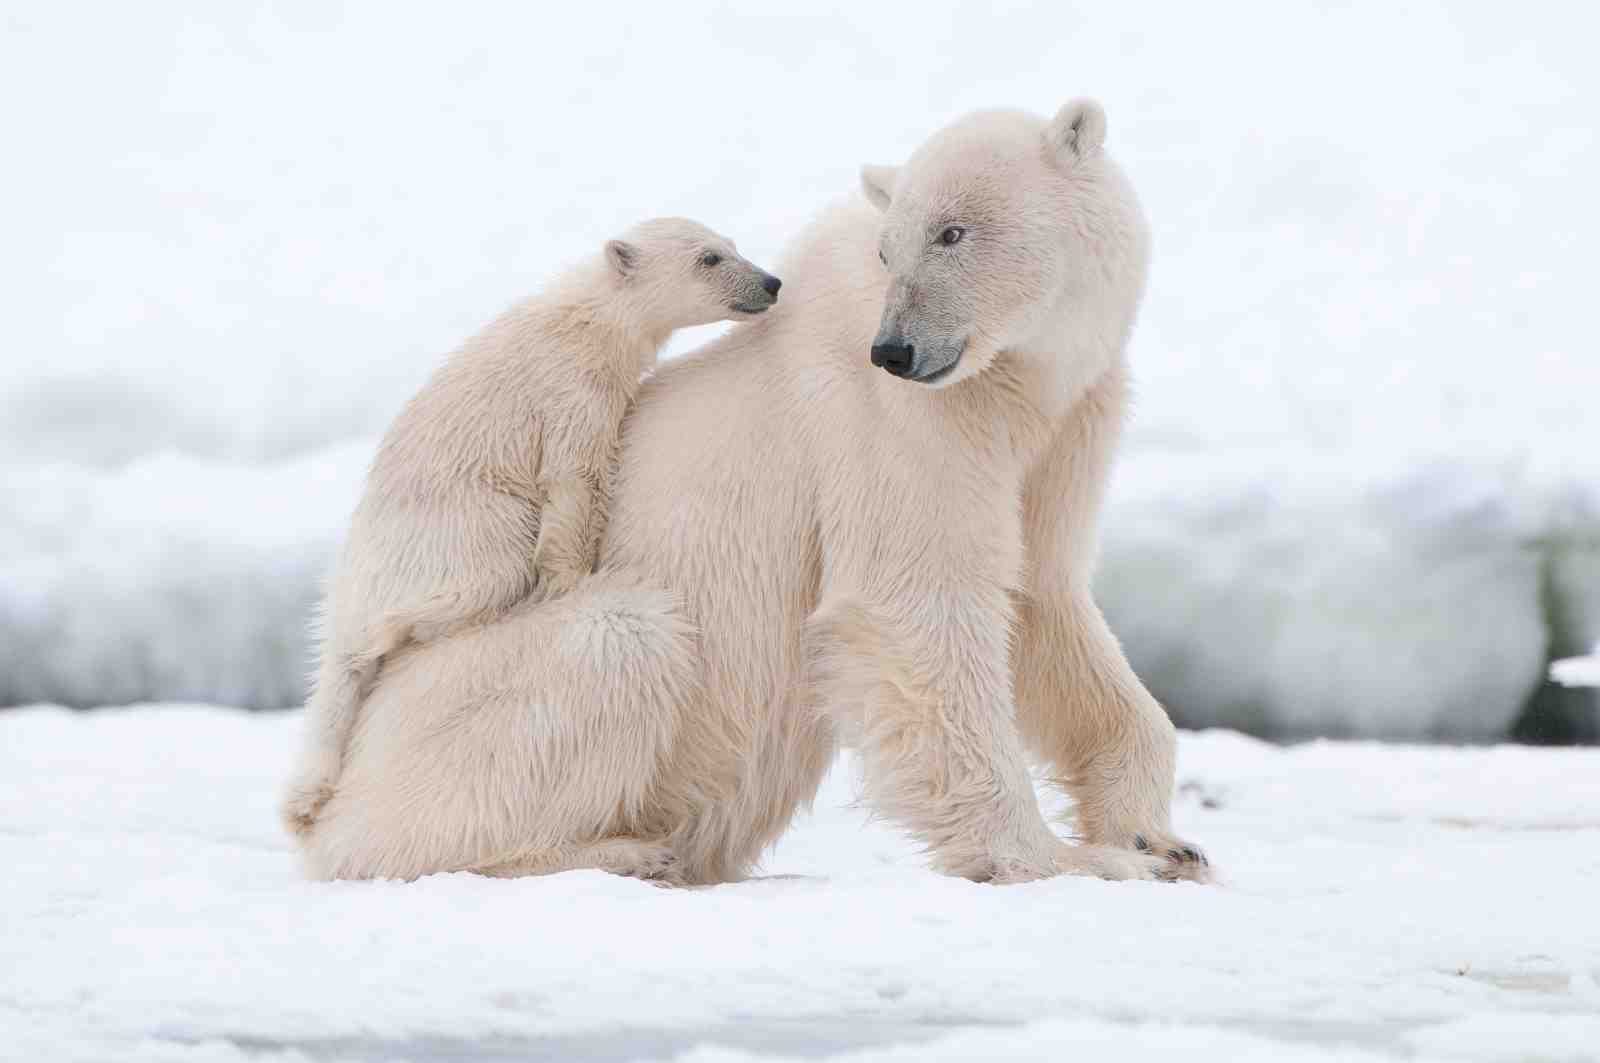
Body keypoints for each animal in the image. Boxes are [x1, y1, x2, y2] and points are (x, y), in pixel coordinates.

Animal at [279, 218, 782, 839]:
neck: (589, 318)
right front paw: (571, 579)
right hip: (459, 527)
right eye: (709, 258)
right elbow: (575, 477)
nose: (771, 282)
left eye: (733, 245)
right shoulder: (570, 389)